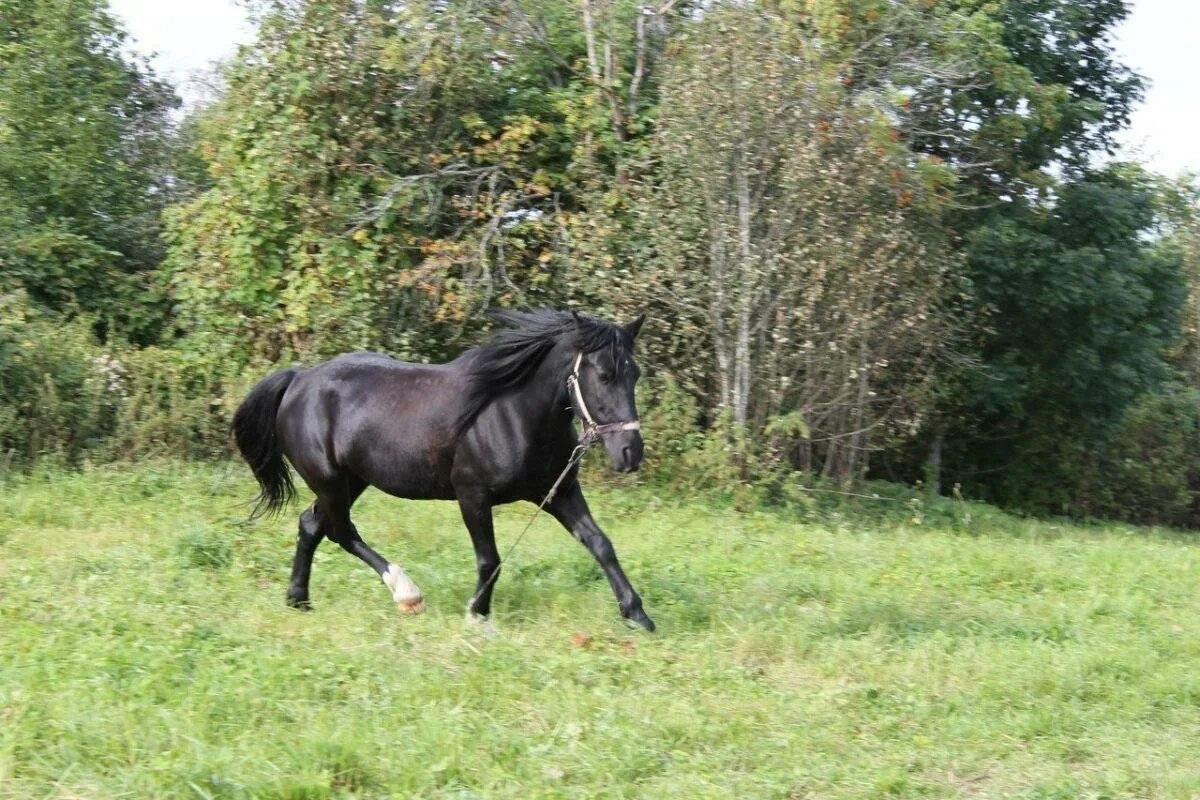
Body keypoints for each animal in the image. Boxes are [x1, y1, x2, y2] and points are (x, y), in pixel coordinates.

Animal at [228, 309, 652, 628]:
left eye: (634, 373)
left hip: (352, 481)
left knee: (311, 525)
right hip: (330, 481)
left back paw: (298, 600)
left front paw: (637, 615)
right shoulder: (472, 496)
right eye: (603, 375)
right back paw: (407, 593)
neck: (511, 413)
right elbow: (490, 560)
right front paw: (476, 615)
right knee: (340, 531)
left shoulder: (558, 493)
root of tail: (298, 379)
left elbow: (600, 543)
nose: (630, 453)